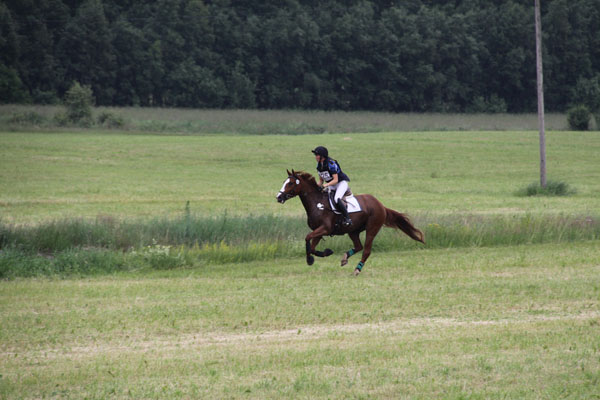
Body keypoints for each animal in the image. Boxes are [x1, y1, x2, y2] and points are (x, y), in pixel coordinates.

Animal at [274, 169, 424, 276]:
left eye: (290, 183)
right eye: (284, 182)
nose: (278, 197)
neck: (317, 204)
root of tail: (381, 205)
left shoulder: (325, 229)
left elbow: (307, 238)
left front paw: (310, 259)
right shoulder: (319, 231)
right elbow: (312, 247)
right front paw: (326, 253)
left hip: (372, 228)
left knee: (366, 250)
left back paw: (357, 269)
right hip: (353, 231)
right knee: (358, 246)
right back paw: (345, 258)